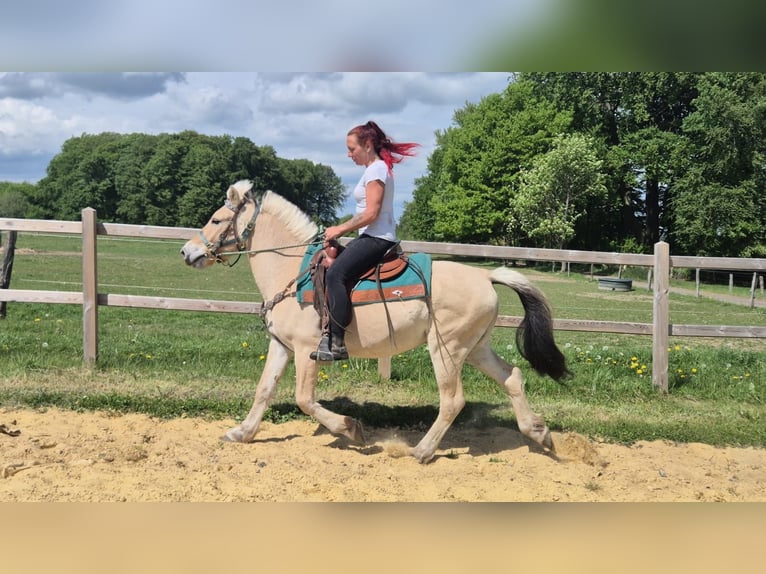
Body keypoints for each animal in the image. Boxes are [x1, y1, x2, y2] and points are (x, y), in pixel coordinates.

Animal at [180, 180, 570, 463]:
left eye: (217, 220)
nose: (187, 251)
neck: (291, 272)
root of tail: (486, 277)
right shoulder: (281, 346)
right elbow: (264, 390)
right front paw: (242, 433)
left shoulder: (308, 351)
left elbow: (304, 399)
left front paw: (350, 428)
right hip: (475, 348)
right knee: (512, 377)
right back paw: (539, 433)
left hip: (446, 349)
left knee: (453, 400)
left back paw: (422, 451)